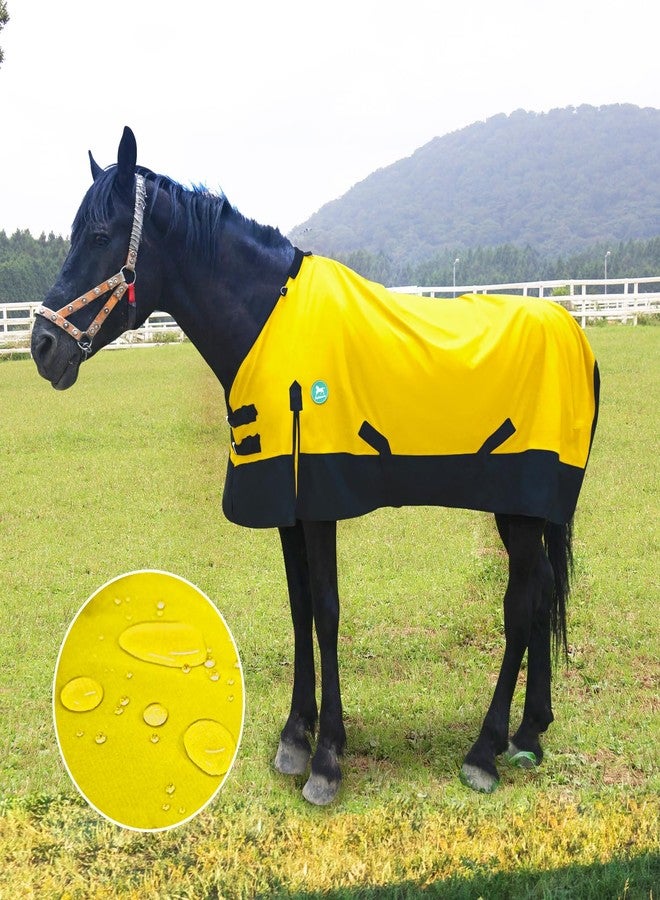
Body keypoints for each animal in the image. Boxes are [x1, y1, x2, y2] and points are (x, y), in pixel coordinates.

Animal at [31, 127, 599, 805]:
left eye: (98, 236)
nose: (41, 346)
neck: (269, 322)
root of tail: (572, 331)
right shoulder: (286, 503)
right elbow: (300, 607)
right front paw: (295, 737)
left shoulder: (321, 503)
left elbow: (326, 612)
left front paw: (327, 758)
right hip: (525, 512)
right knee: (540, 595)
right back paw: (529, 733)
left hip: (519, 507)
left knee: (521, 605)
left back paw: (485, 751)